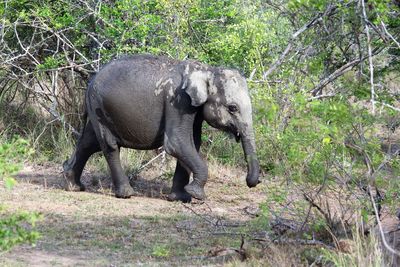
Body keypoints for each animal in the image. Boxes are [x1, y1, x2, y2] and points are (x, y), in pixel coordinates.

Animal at [62, 54, 260, 202]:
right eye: (232, 108)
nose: (254, 182)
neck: (206, 70)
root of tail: (91, 80)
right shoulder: (178, 101)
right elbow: (176, 143)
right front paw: (196, 195)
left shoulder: (193, 109)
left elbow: (192, 143)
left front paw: (181, 198)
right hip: (99, 105)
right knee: (109, 145)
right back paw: (126, 194)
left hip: (98, 108)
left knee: (89, 143)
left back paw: (73, 185)